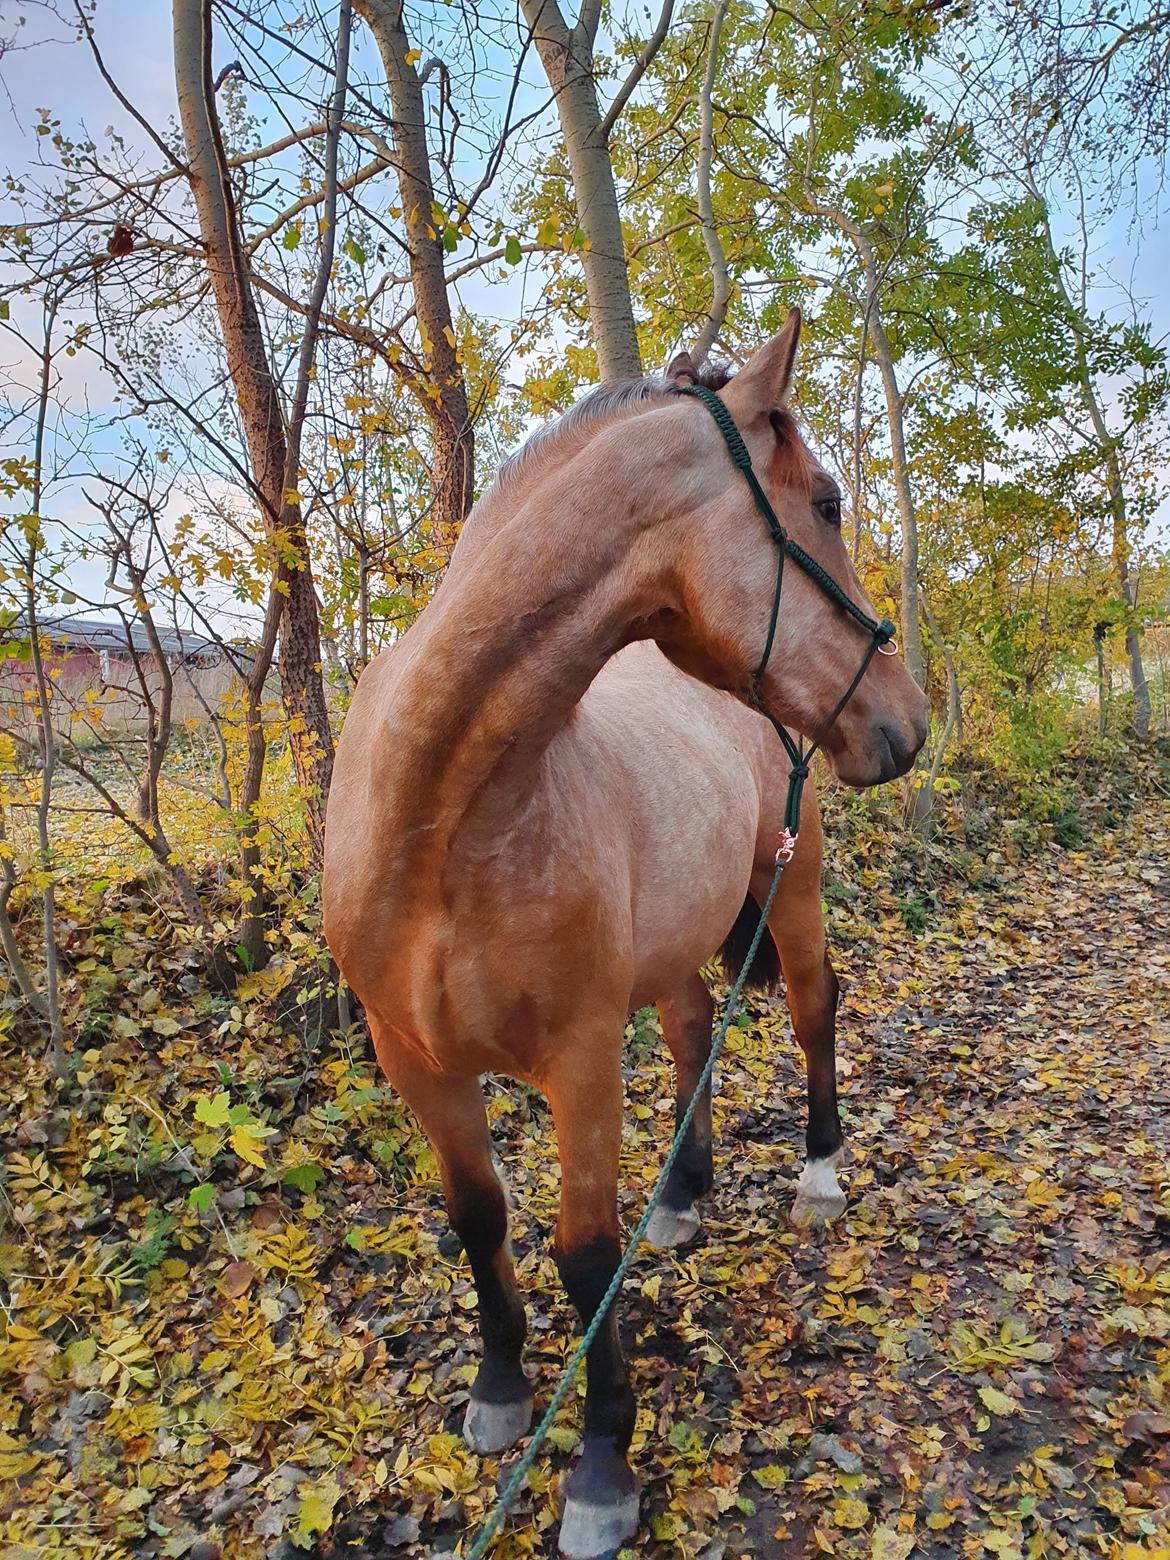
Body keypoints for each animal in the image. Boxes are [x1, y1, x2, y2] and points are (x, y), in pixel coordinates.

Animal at [326, 310, 929, 1553]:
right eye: (828, 503)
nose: (907, 720)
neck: (437, 824)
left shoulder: (581, 1058)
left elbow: (581, 1252)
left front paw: (603, 1465)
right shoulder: (418, 1064)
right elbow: (478, 1218)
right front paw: (500, 1391)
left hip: (791, 893)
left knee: (812, 1011)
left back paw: (820, 1173)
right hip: (676, 944)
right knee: (697, 1025)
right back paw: (684, 1196)